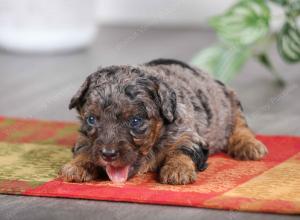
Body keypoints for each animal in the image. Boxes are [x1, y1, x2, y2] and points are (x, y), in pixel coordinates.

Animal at [59, 58, 268, 184]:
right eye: (91, 119)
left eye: (136, 121)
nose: (108, 154)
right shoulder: (85, 137)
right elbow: (85, 148)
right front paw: (77, 166)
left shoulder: (188, 133)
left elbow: (183, 149)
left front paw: (177, 170)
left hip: (231, 101)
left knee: (240, 126)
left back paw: (249, 146)